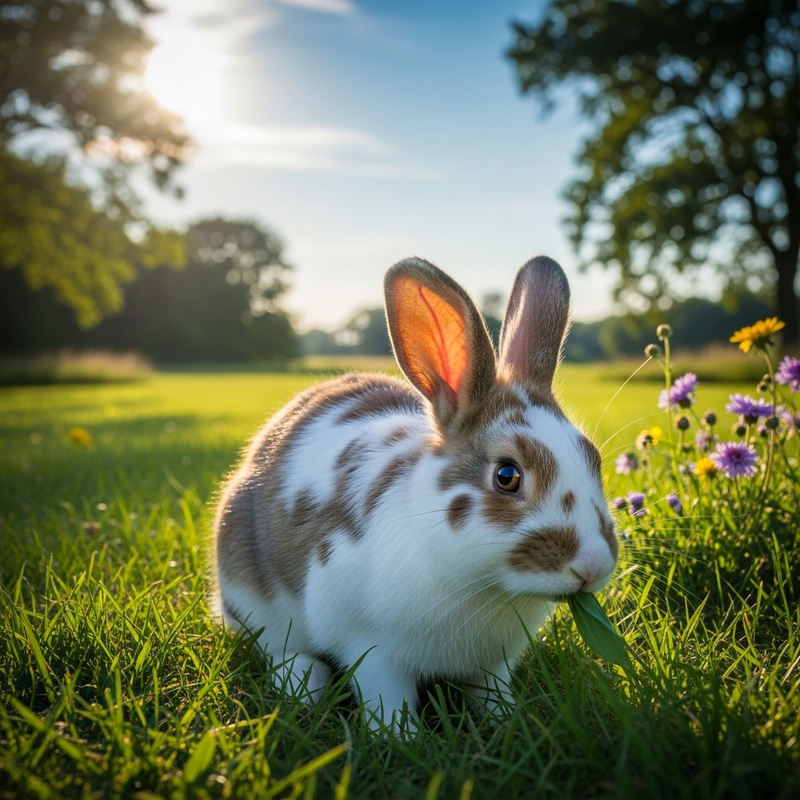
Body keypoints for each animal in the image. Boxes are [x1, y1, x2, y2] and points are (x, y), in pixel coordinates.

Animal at [211, 255, 618, 732]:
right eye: (506, 476)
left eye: (593, 458)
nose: (593, 565)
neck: (485, 589)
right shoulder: (371, 650)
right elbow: (388, 701)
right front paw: (400, 737)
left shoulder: (493, 665)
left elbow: (492, 695)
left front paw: (507, 721)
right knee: (277, 646)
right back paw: (304, 683)